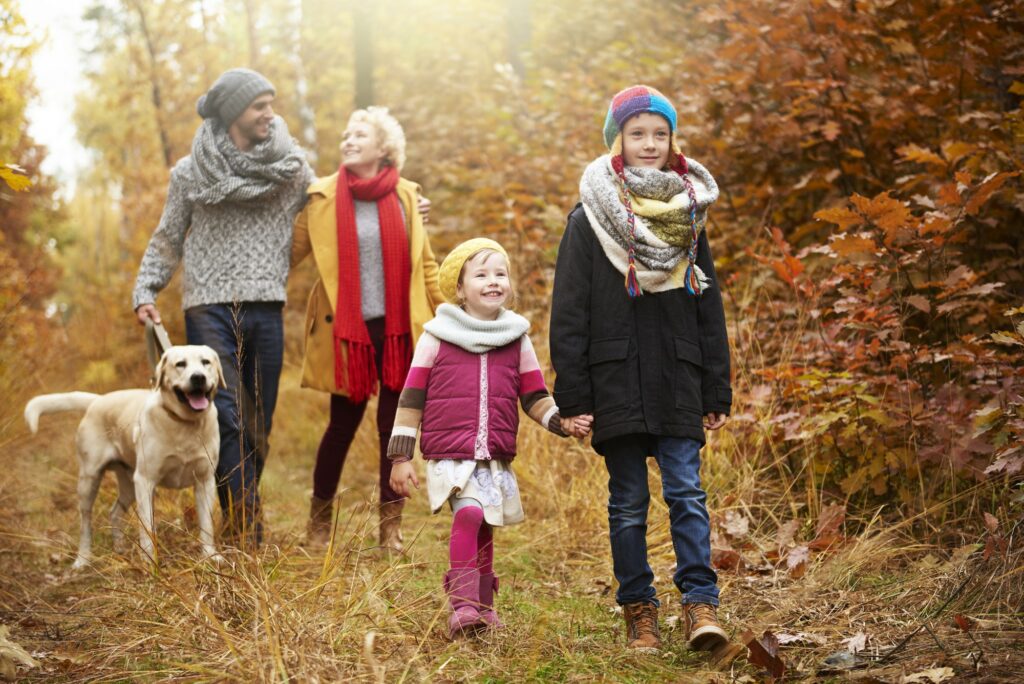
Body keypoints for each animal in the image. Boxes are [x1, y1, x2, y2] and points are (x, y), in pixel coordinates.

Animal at [24, 344, 224, 569]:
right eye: (180, 364)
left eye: (206, 362)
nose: (198, 377)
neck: (185, 424)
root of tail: (98, 400)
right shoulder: (145, 481)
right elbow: (147, 528)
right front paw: (150, 562)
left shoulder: (205, 481)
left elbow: (206, 525)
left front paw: (210, 556)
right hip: (90, 481)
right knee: (85, 523)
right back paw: (83, 559)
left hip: (129, 484)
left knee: (114, 512)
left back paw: (119, 548)